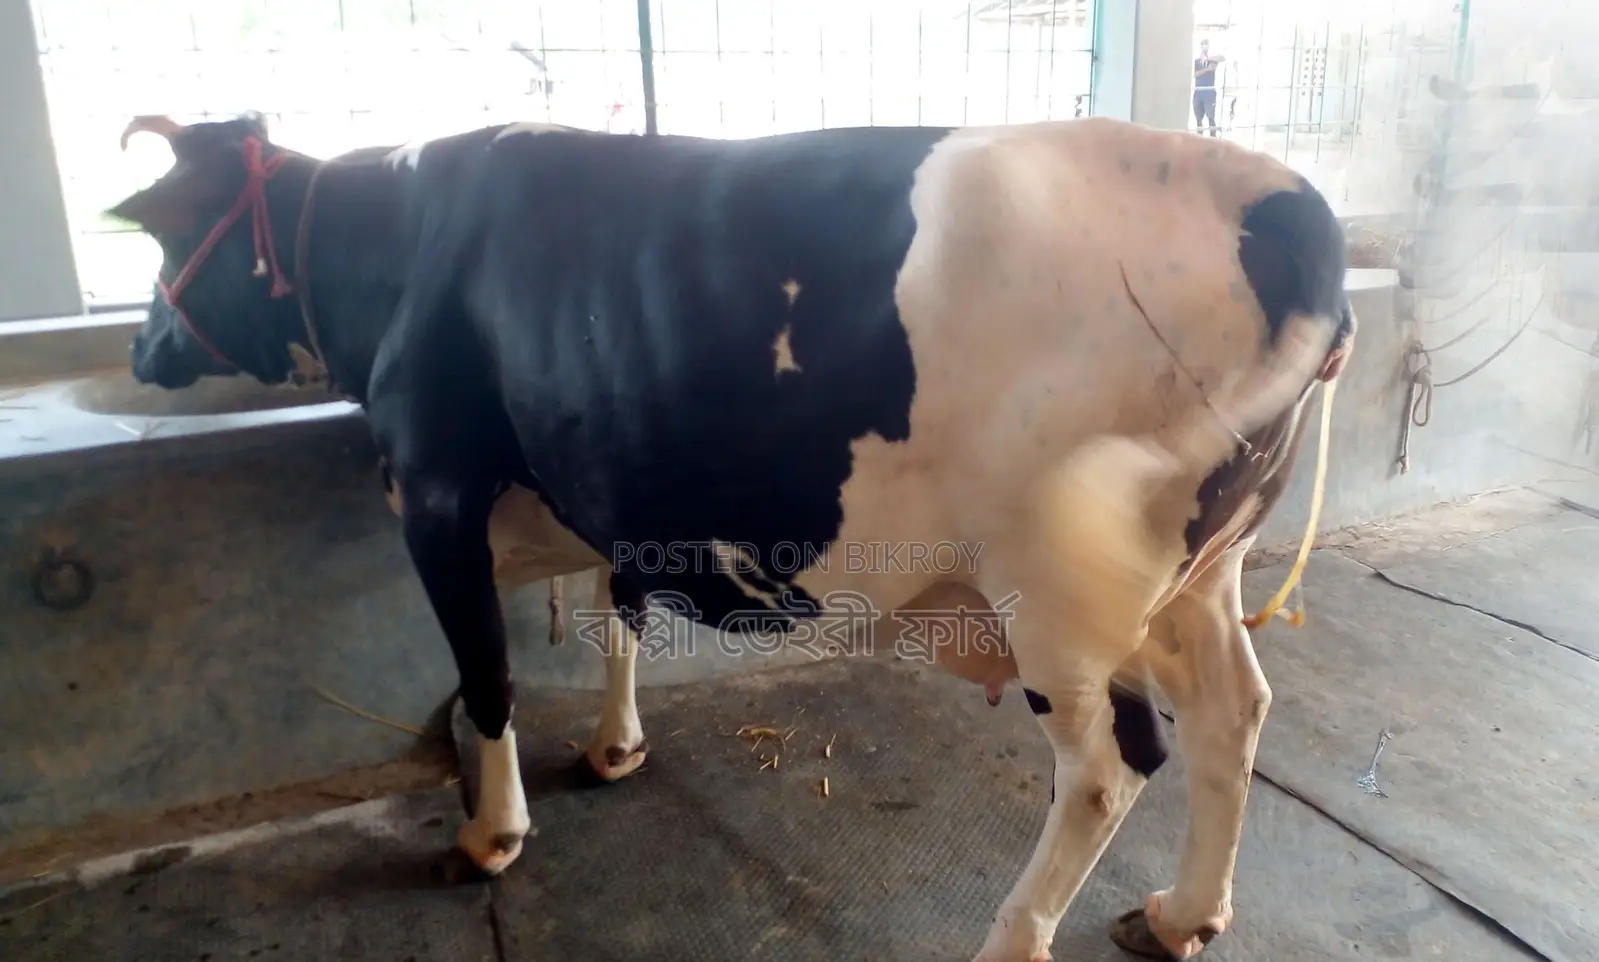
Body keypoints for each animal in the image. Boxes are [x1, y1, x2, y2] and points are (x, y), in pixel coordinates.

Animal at [109, 109, 1353, 961]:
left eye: (165, 236)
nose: (139, 348)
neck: (404, 246)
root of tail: (1279, 194)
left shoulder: (435, 490)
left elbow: (488, 676)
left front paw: (490, 833)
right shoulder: (612, 475)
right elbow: (616, 610)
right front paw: (615, 745)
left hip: (1056, 592)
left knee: (1108, 767)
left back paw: (1014, 934)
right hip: (1199, 571)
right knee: (1233, 712)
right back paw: (1185, 911)